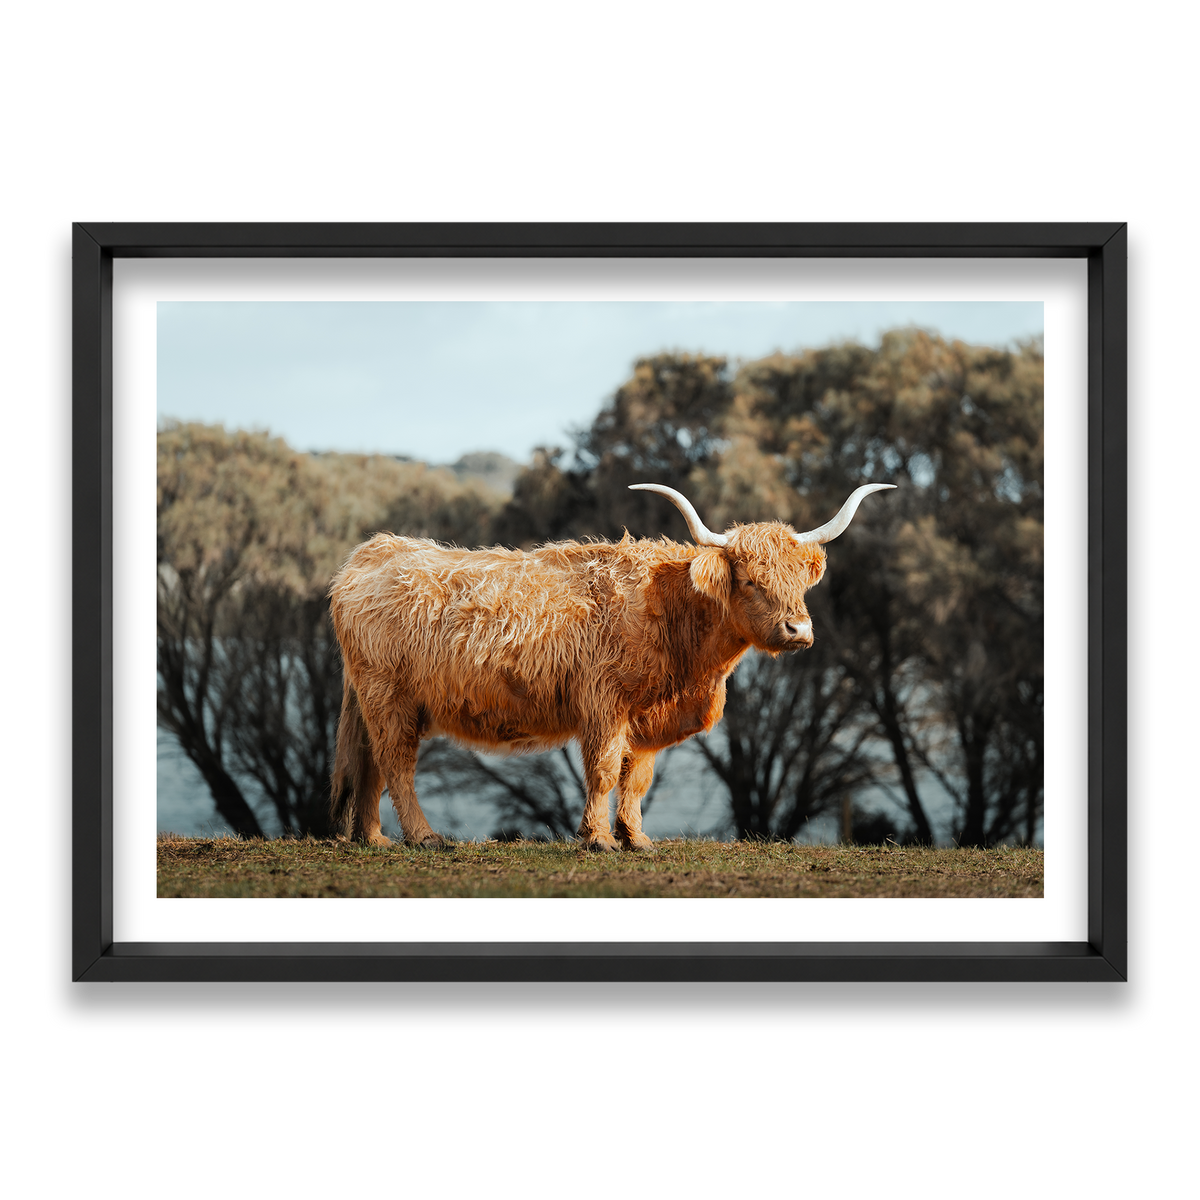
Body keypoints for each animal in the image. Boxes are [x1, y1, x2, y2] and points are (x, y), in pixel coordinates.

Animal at [329, 482, 894, 851]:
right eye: (752, 581)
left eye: (799, 580)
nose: (798, 630)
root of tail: (373, 551)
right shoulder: (604, 703)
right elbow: (602, 771)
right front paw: (598, 839)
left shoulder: (646, 717)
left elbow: (636, 777)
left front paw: (636, 838)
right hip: (390, 697)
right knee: (396, 763)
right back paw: (424, 837)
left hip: (376, 701)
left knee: (371, 764)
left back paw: (374, 839)